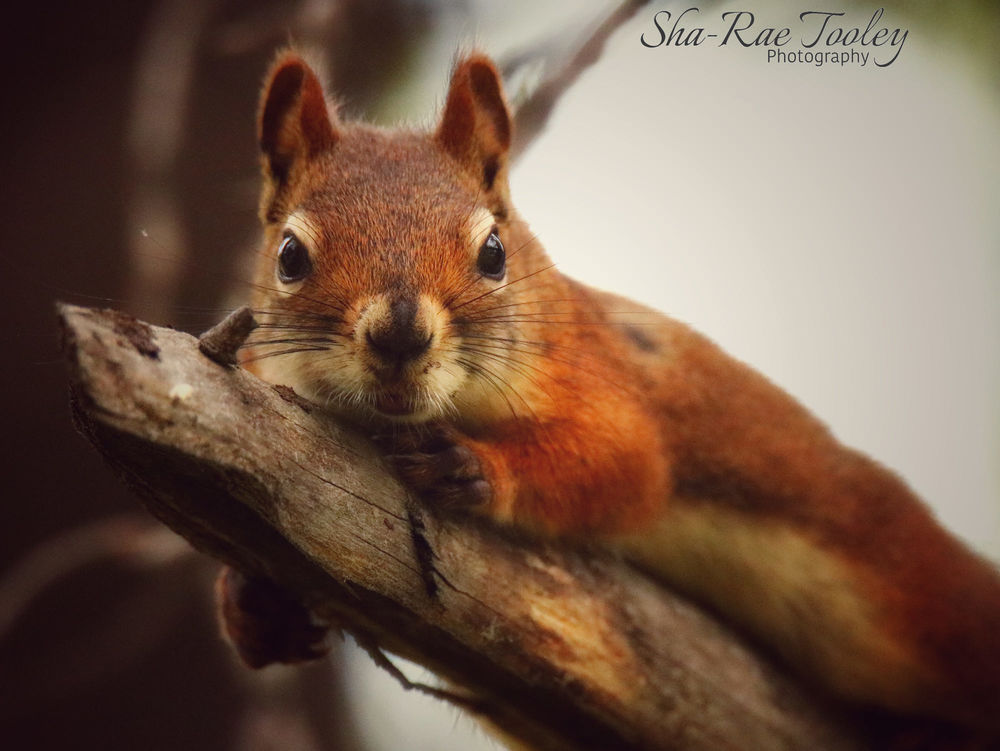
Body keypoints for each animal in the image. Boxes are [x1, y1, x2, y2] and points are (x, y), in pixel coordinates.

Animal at [217, 49, 1000, 747]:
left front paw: (473, 463)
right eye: (290, 256)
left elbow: (629, 466)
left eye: (493, 252)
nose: (401, 333)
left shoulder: (596, 375)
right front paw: (251, 604)